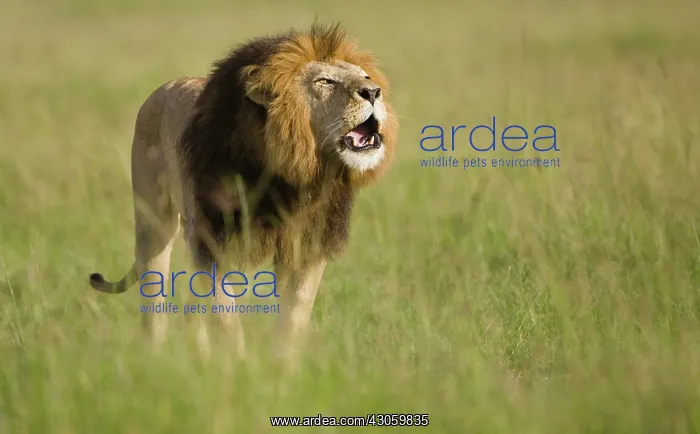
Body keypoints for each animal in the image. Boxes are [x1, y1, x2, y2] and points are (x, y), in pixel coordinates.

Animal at [88, 22, 398, 358]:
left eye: (366, 77)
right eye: (325, 81)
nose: (373, 92)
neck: (293, 175)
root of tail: (166, 86)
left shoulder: (309, 243)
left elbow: (294, 314)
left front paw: (283, 364)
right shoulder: (212, 241)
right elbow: (225, 314)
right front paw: (240, 363)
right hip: (154, 224)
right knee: (154, 291)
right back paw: (156, 355)